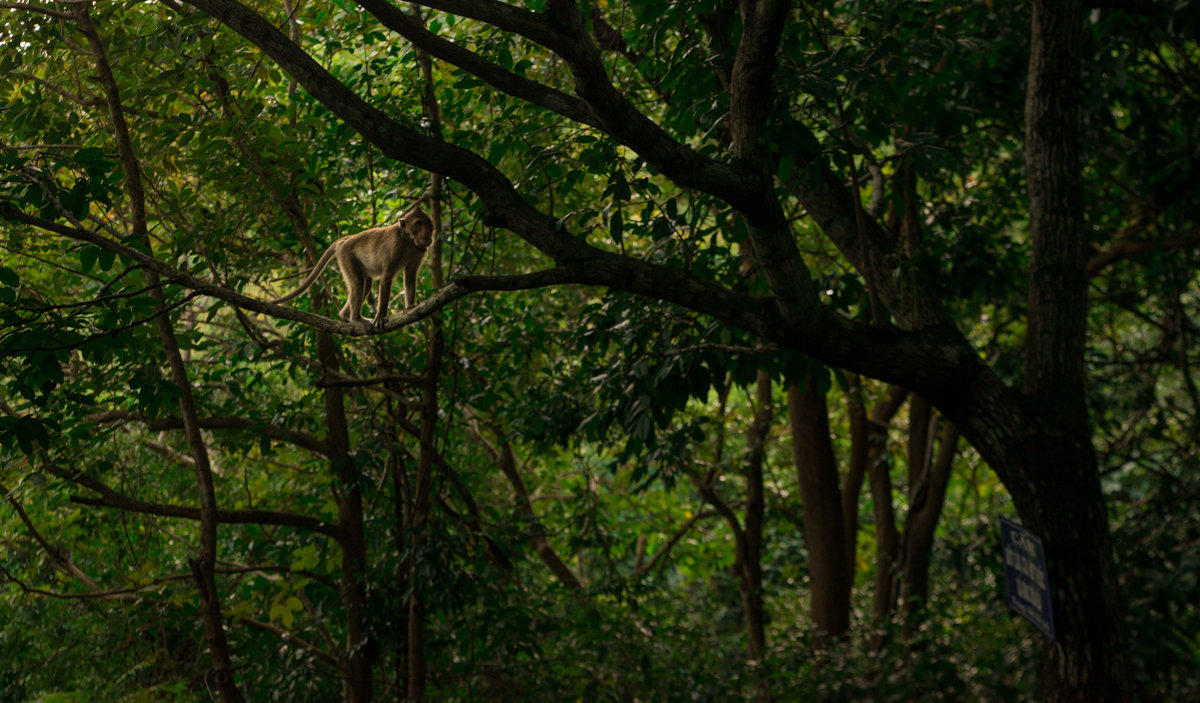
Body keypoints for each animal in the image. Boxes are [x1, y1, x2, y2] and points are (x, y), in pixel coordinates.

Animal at [272, 203, 436, 326]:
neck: (408, 241)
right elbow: (387, 277)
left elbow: (410, 274)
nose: (427, 233)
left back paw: (345, 315)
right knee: (358, 282)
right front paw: (381, 315)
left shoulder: (419, 251)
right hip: (346, 256)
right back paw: (356, 319)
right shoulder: (395, 246)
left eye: (427, 222)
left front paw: (410, 306)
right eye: (418, 224)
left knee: (366, 284)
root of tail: (344, 240)